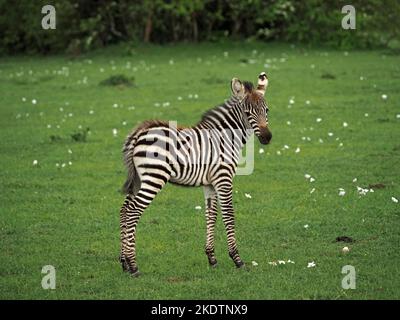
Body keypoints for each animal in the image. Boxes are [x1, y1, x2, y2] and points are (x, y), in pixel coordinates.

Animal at [119, 71, 272, 276]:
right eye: (248, 113)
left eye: (267, 110)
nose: (267, 138)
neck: (224, 137)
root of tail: (139, 133)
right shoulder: (223, 179)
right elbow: (229, 215)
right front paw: (237, 259)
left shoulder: (210, 183)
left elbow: (211, 215)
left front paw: (212, 258)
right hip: (154, 178)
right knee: (133, 212)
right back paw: (134, 266)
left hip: (138, 179)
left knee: (124, 211)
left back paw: (124, 263)